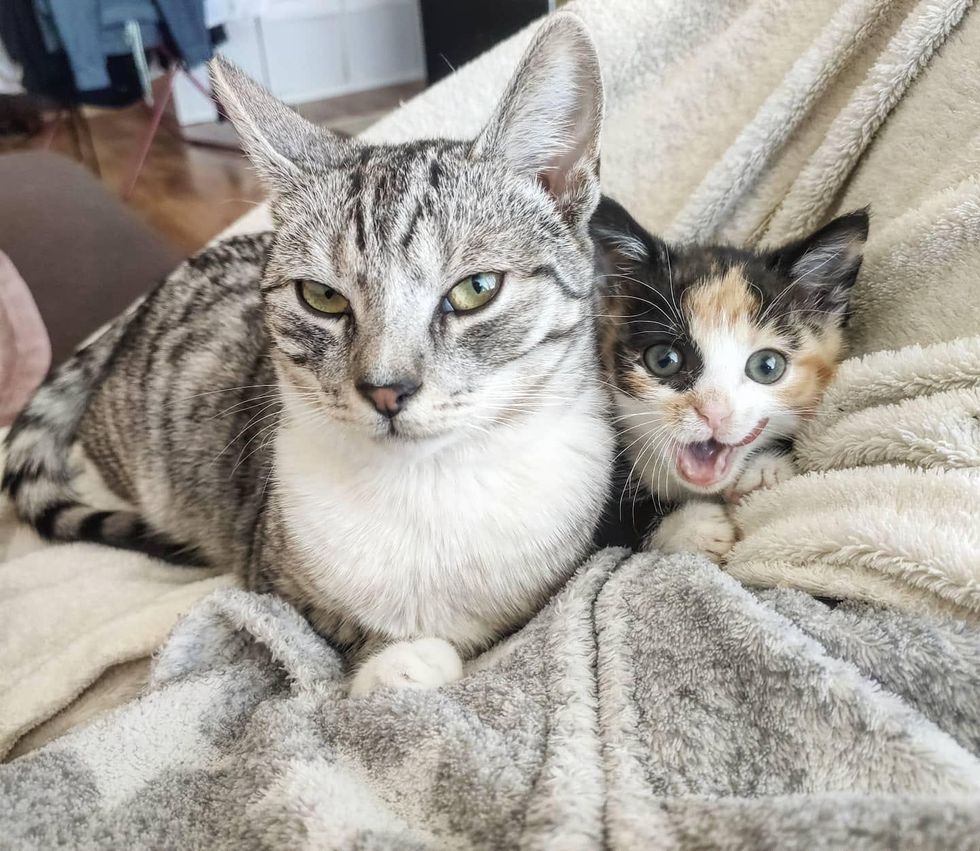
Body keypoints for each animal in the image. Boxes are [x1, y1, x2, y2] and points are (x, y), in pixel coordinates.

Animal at [1, 16, 612, 696]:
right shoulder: (268, 574)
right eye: (322, 297)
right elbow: (321, 634)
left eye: (476, 289)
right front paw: (400, 663)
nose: (385, 388)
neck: (426, 490)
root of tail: (130, 317)